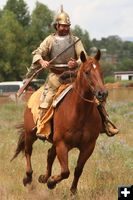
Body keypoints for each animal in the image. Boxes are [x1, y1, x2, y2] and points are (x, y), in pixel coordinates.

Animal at [11, 50, 108, 194]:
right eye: (87, 72)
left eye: (101, 72)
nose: (102, 93)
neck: (80, 113)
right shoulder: (62, 144)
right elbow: (65, 171)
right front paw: (51, 182)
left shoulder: (88, 146)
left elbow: (78, 170)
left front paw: (72, 191)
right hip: (30, 134)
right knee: (28, 152)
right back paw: (28, 179)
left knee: (49, 154)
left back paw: (44, 177)